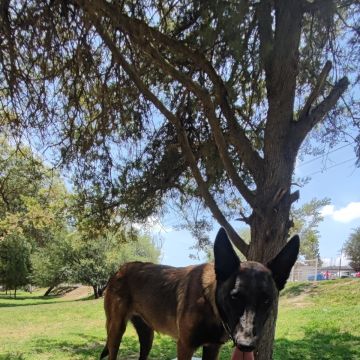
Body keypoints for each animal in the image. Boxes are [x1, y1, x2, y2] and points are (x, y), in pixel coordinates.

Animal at [100, 226, 300, 358]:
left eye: (266, 300)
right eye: (234, 297)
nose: (246, 345)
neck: (211, 306)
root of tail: (120, 270)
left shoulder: (212, 348)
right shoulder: (185, 347)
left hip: (147, 335)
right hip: (116, 330)